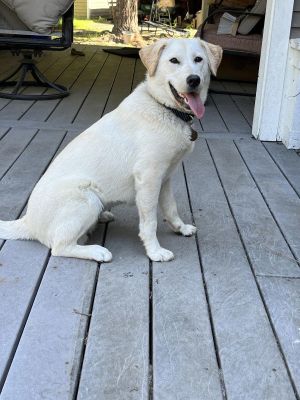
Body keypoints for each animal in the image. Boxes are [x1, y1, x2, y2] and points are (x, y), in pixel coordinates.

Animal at [0, 38, 220, 262]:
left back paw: (102, 217)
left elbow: (171, 208)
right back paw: (97, 251)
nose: (194, 80)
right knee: (59, 246)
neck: (165, 108)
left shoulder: (165, 177)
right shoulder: (149, 178)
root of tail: (28, 222)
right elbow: (150, 222)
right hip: (86, 197)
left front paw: (181, 228)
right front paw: (155, 251)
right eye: (174, 61)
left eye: (198, 59)